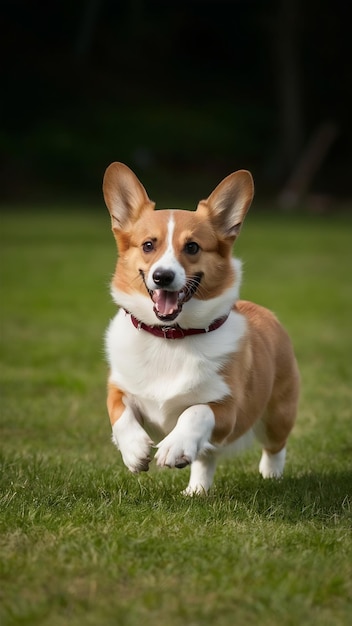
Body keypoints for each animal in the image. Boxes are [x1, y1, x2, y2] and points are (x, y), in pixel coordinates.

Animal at [102, 163, 300, 494]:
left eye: (192, 247)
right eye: (148, 245)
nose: (163, 276)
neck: (170, 336)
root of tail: (262, 311)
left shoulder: (227, 410)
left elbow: (195, 412)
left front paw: (173, 447)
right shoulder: (119, 386)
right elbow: (119, 411)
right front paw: (135, 450)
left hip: (278, 414)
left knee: (275, 447)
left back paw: (270, 475)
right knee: (205, 459)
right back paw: (197, 491)